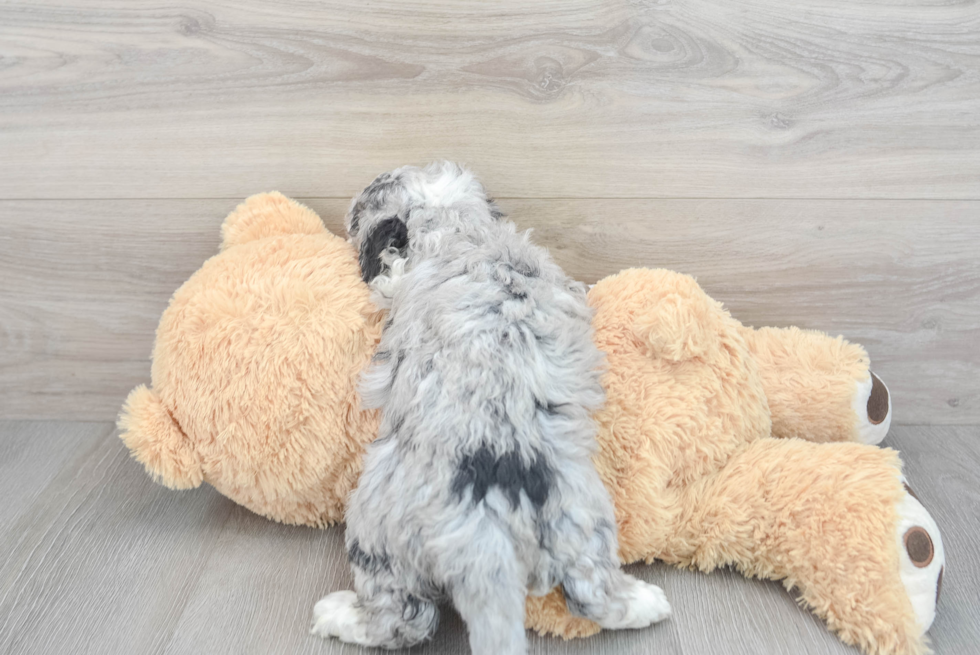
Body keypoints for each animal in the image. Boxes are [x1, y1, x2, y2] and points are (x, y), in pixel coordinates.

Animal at [310, 163, 668, 655]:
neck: (463, 232)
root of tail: (483, 533)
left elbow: (389, 281)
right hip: (581, 519)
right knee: (594, 595)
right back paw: (646, 603)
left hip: (376, 534)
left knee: (404, 621)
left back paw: (336, 615)